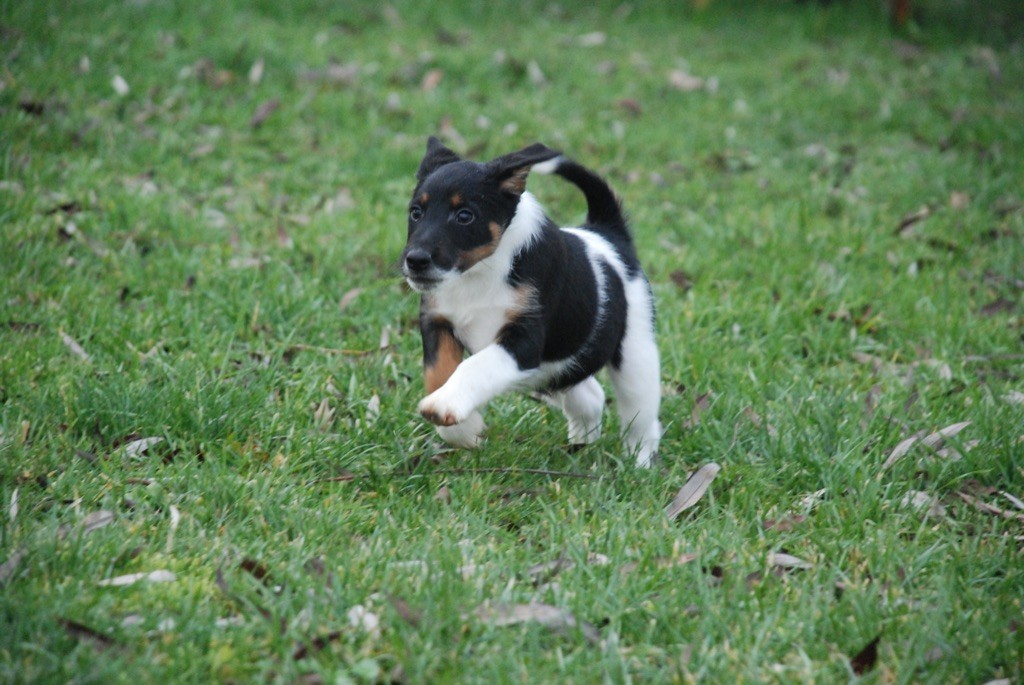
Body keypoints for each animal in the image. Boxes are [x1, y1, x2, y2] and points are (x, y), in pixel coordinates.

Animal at [395, 136, 659, 466]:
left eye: (464, 216)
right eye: (416, 212)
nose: (415, 261)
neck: (481, 273)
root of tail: (607, 233)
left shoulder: (523, 341)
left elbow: (475, 367)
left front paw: (445, 405)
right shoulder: (437, 323)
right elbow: (437, 373)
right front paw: (465, 431)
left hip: (636, 354)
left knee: (642, 418)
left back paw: (640, 464)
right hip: (558, 370)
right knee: (591, 396)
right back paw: (581, 445)